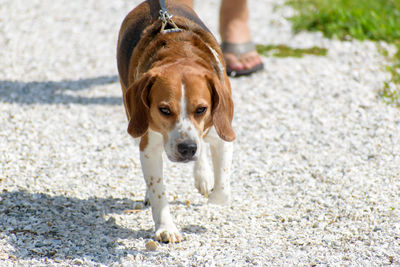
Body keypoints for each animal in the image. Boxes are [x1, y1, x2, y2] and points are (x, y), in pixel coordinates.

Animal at [116, 0, 234, 244]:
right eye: (164, 110)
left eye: (201, 109)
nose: (187, 148)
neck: (179, 52)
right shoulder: (149, 146)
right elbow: (158, 190)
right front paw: (165, 227)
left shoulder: (222, 135)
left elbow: (222, 189)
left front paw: (213, 197)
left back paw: (203, 175)